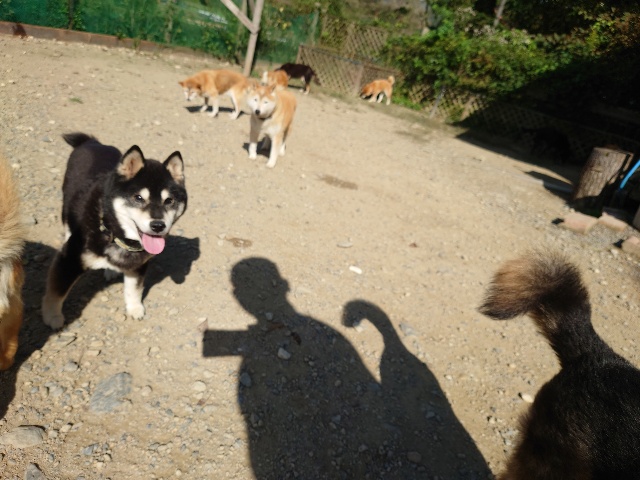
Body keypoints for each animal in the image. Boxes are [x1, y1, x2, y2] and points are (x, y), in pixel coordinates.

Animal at [42, 133, 188, 330]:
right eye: (138, 198)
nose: (158, 225)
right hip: (67, 205)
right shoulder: (69, 259)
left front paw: (134, 308)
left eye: (169, 201)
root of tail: (92, 142)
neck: (113, 234)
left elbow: (134, 289)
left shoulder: (139, 264)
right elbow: (57, 292)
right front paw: (52, 317)